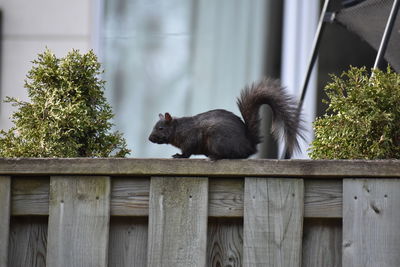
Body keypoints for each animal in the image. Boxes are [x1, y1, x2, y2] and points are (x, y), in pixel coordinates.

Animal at [148, 78, 304, 160]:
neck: (178, 129)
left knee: (233, 155)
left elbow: (188, 151)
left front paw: (179, 156)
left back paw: (215, 156)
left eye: (160, 128)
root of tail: (249, 145)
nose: (150, 139)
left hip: (217, 140)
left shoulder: (190, 138)